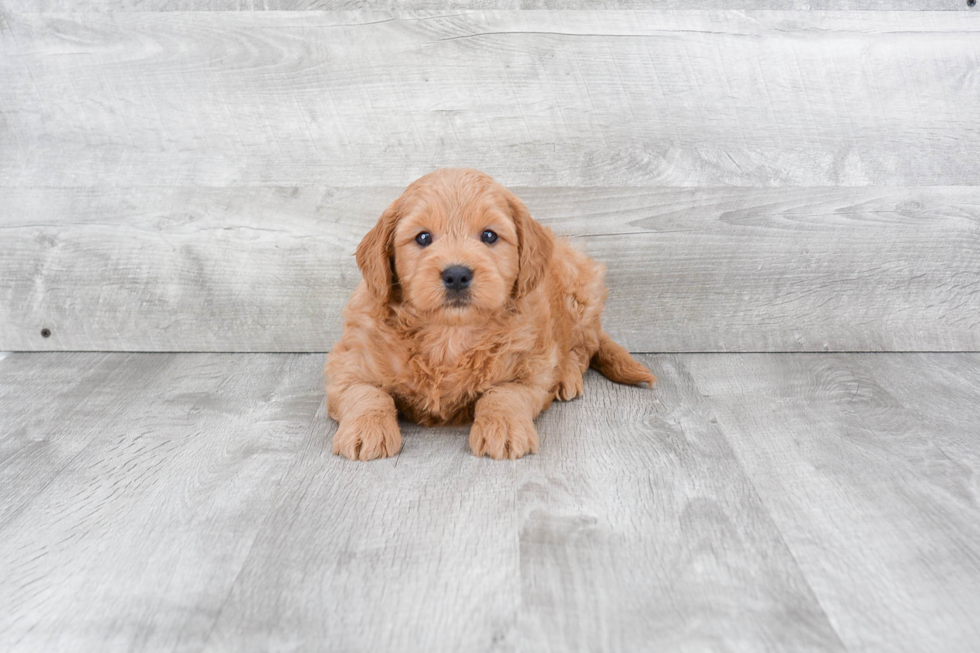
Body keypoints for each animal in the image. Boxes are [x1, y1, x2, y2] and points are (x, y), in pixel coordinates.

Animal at [326, 171, 656, 460]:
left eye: (489, 235)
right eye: (422, 238)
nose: (456, 275)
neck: (449, 334)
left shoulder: (530, 370)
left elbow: (504, 394)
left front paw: (504, 428)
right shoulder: (347, 363)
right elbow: (366, 393)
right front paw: (367, 429)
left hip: (582, 293)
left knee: (583, 348)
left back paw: (566, 376)